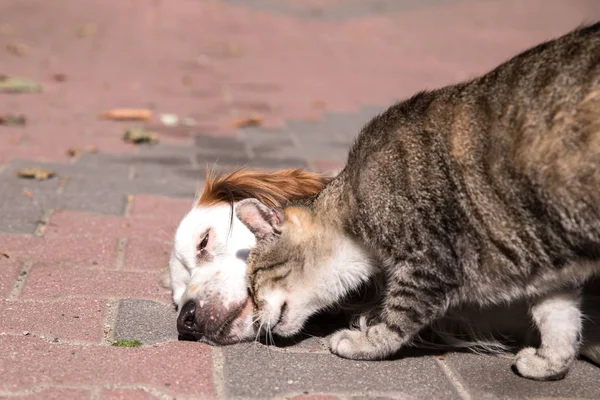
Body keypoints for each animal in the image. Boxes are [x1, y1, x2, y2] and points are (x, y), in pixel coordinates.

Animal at [233, 22, 600, 382]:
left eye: (252, 285)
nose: (255, 323)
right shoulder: (550, 273)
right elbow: (558, 317)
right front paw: (549, 361)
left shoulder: (430, 260)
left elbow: (400, 314)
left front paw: (366, 341)